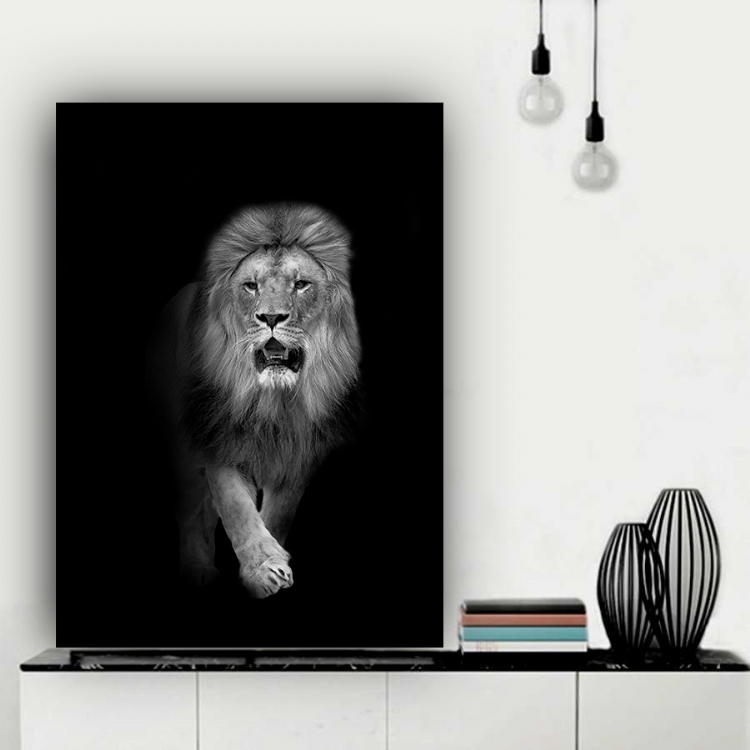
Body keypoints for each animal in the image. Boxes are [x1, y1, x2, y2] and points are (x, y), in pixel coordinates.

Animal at [147, 203, 361, 598]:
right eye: (251, 285)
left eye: (301, 284)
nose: (271, 317)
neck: (272, 401)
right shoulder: (219, 440)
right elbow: (236, 510)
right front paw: (265, 571)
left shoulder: (298, 454)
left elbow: (277, 515)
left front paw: (268, 563)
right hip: (178, 453)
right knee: (190, 514)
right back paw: (197, 569)